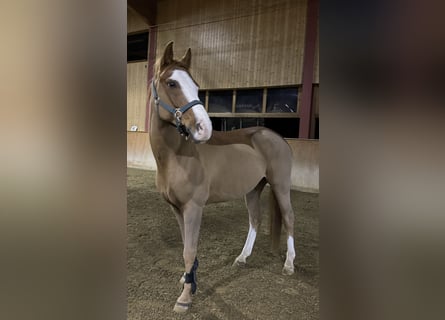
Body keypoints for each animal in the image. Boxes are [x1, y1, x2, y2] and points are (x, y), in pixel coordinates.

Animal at [149, 42, 294, 312]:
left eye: (196, 85)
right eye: (172, 83)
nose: (204, 128)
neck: (177, 156)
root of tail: (277, 137)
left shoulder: (194, 207)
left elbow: (189, 249)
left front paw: (185, 297)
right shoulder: (177, 208)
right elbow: (186, 244)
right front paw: (188, 278)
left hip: (280, 186)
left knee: (289, 218)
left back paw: (289, 264)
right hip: (253, 189)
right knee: (255, 220)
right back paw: (242, 258)